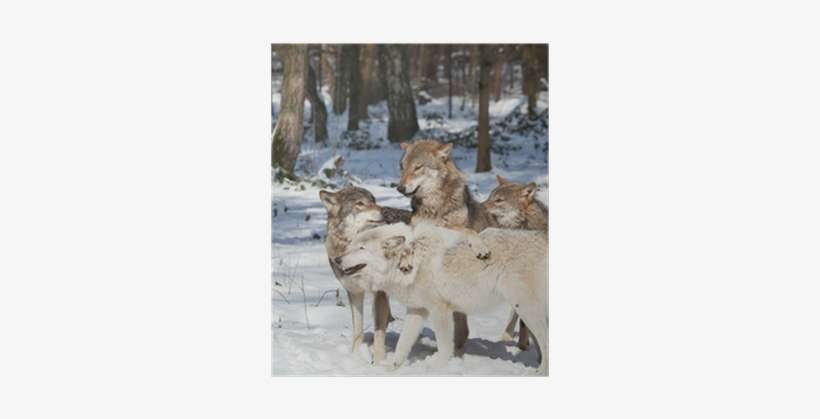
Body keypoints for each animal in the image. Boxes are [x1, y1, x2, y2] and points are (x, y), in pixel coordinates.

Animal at [319, 186, 412, 363]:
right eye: (360, 203)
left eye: (374, 200)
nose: (384, 211)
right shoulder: (354, 292)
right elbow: (358, 330)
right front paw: (355, 356)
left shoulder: (380, 293)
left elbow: (379, 331)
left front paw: (379, 361)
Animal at [335, 221, 549, 374]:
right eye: (350, 246)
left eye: (361, 248)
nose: (337, 259)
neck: (411, 259)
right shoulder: (417, 311)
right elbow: (402, 345)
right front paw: (390, 369)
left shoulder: (440, 310)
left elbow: (445, 347)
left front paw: (437, 369)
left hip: (525, 309)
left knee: (545, 340)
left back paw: (540, 372)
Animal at [397, 139, 497, 350]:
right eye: (402, 167)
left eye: (418, 167)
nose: (399, 188)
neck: (434, 207)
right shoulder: (419, 229)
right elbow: (409, 241)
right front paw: (405, 260)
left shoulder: (453, 230)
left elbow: (469, 231)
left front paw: (480, 247)